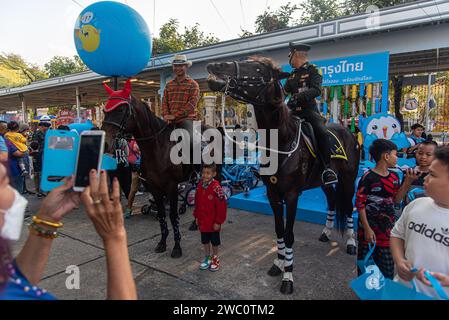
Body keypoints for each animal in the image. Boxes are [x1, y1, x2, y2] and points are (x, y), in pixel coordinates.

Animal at [207, 57, 360, 296]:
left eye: (258, 69)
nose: (217, 65)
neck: (281, 141)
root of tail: (349, 132)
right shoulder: (273, 194)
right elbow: (279, 230)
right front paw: (279, 263)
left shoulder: (291, 196)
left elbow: (289, 234)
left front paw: (288, 276)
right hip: (324, 181)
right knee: (332, 201)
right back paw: (326, 232)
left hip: (349, 179)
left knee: (348, 205)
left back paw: (352, 243)